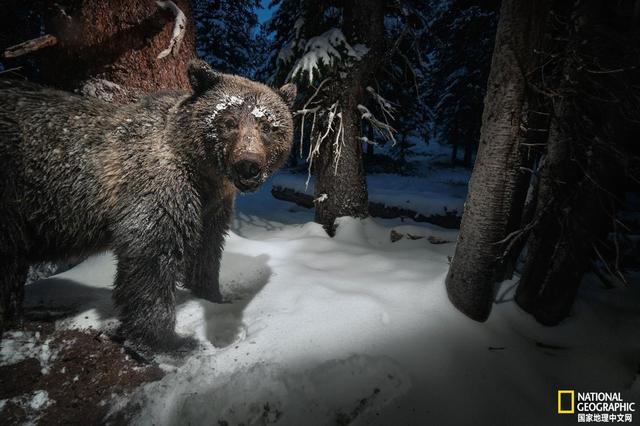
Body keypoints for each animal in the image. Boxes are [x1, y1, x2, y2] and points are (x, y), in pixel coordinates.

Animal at [1, 58, 296, 348]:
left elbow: (207, 251)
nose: (249, 165)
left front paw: (212, 296)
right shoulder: (158, 186)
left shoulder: (212, 206)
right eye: (229, 121)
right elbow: (151, 253)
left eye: (267, 126)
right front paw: (161, 337)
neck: (203, 173)